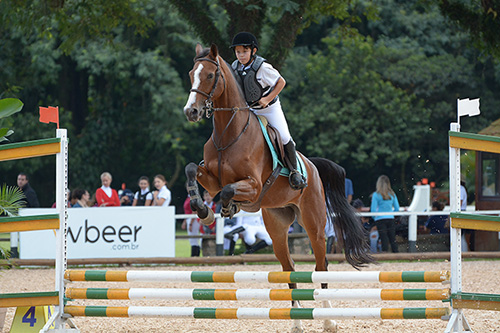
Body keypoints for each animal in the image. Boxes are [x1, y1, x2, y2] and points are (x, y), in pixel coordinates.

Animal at [182, 44, 374, 332]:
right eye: (191, 73)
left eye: (210, 75)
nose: (191, 111)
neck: (229, 133)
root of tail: (312, 167)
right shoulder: (212, 179)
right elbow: (192, 169)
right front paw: (203, 210)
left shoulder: (252, 185)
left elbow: (227, 191)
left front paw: (227, 208)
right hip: (277, 226)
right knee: (289, 267)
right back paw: (296, 322)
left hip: (314, 224)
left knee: (321, 265)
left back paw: (328, 318)